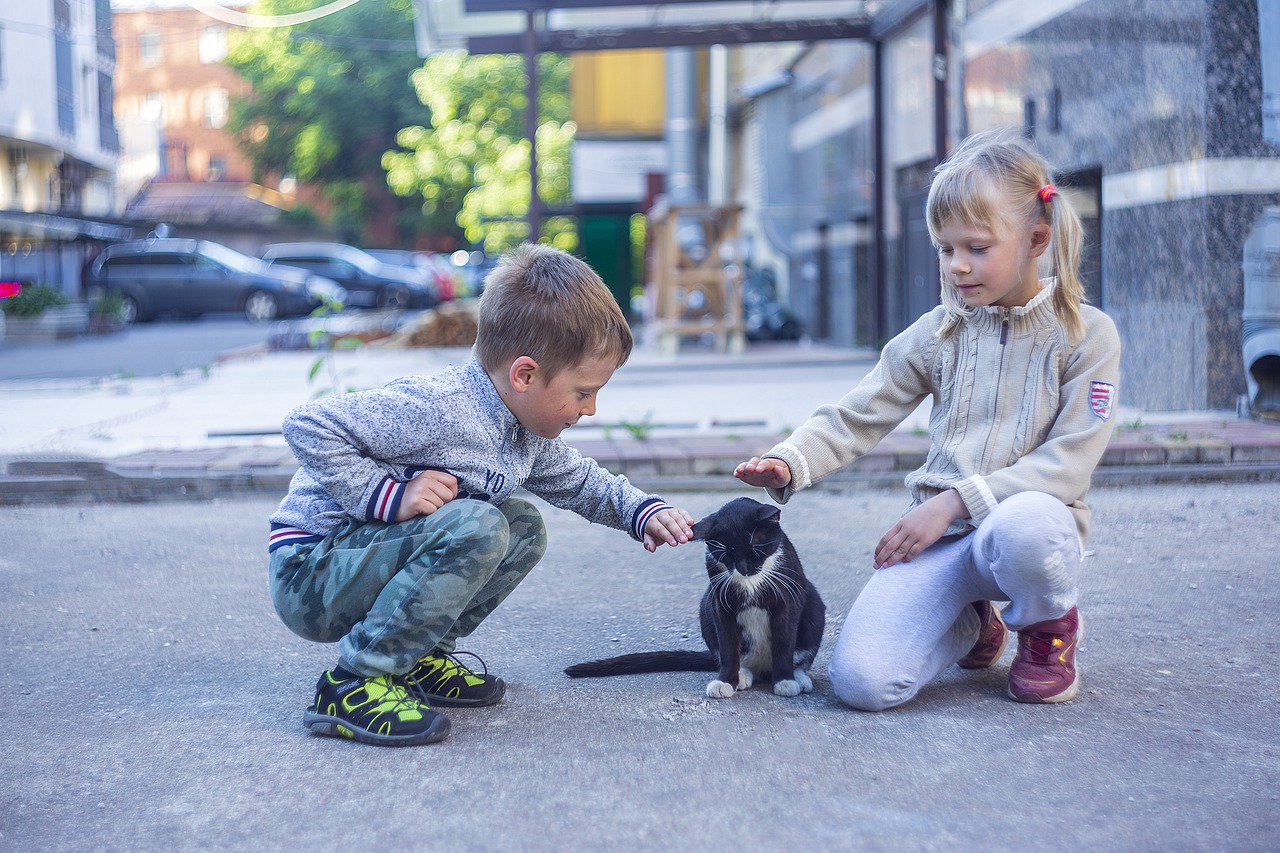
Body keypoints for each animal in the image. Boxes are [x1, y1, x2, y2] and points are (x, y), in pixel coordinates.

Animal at [565, 494, 824, 696]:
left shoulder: (788, 596)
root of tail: (762, 666)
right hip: (705, 606)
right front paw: (725, 681)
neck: (750, 582)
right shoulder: (719, 602)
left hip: (814, 605)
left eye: (755, 550)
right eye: (726, 554)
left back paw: (799, 678)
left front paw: (785, 681)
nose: (743, 569)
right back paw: (742, 675)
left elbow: (784, 641)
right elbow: (728, 646)